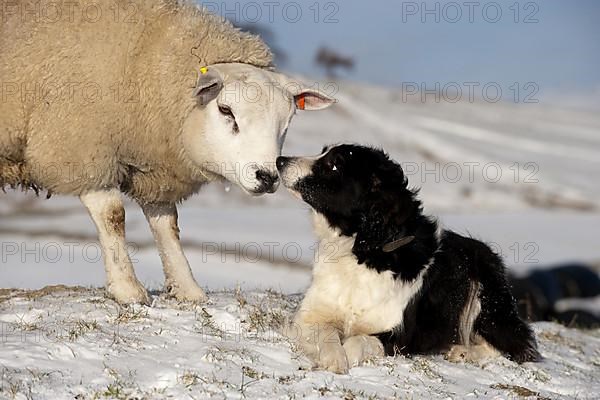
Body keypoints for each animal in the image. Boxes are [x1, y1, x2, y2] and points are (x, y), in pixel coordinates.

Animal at [0, 0, 336, 304]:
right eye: (226, 110)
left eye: (287, 121)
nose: (266, 177)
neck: (141, 64)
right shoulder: (81, 149)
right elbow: (113, 216)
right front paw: (127, 289)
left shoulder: (155, 170)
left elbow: (168, 226)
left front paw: (187, 287)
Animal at [278, 145, 540, 374]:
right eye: (324, 152)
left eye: (334, 165)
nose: (280, 160)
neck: (362, 249)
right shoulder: (310, 315)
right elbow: (327, 334)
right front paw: (332, 359)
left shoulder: (399, 335)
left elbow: (360, 340)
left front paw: (344, 356)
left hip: (485, 295)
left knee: (515, 346)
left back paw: (463, 351)